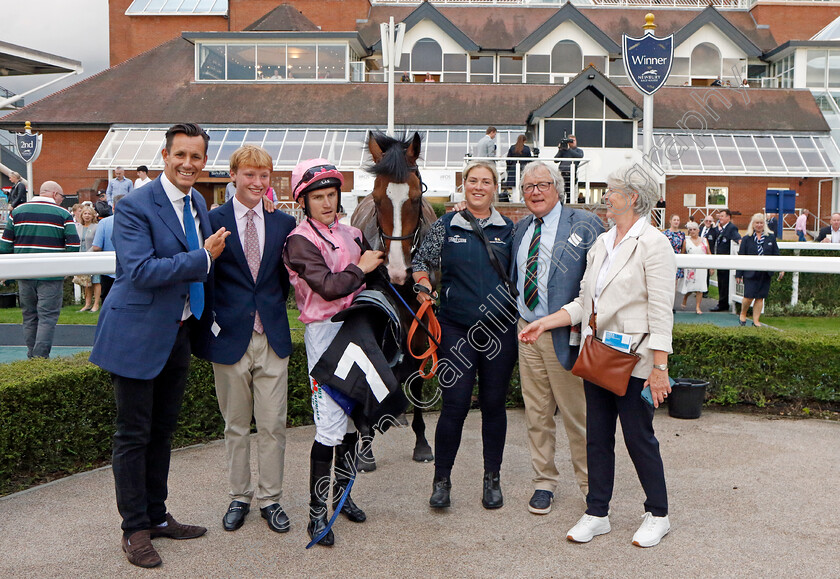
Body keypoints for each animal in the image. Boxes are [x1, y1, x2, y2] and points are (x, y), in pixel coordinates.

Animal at [350, 131, 436, 466]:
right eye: (376, 199)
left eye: (415, 198)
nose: (397, 271)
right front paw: (365, 446)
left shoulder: (421, 315)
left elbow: (417, 371)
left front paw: (422, 441)